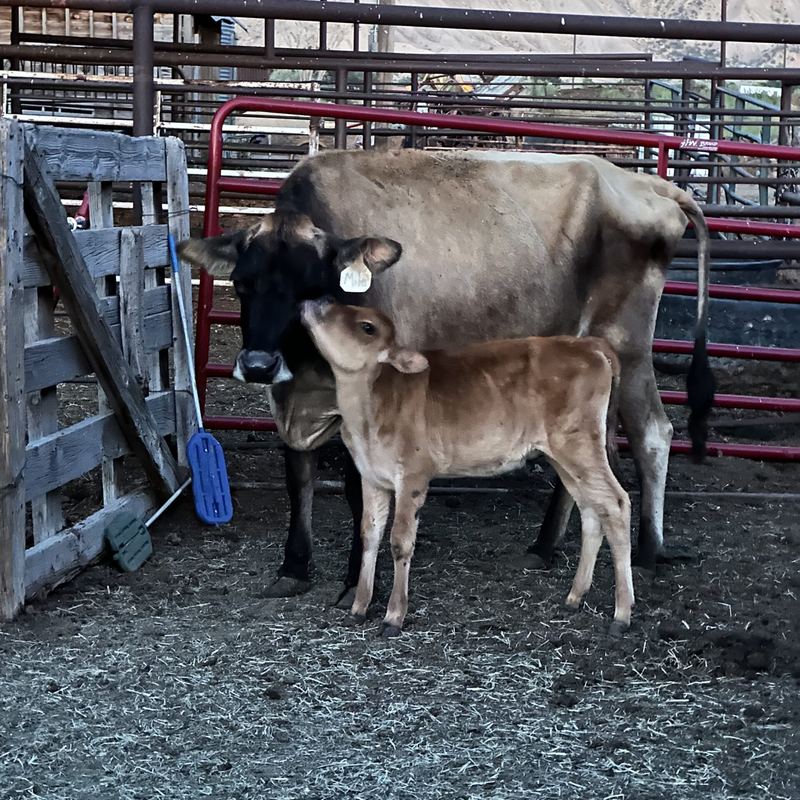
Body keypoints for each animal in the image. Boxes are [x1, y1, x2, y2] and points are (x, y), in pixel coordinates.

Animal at [178, 149, 713, 601]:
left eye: (310, 288)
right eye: (241, 284)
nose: (258, 363)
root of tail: (644, 183)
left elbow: (358, 489)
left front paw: (354, 583)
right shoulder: (290, 399)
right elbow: (298, 475)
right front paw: (293, 566)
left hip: (628, 344)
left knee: (652, 433)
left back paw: (649, 551)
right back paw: (544, 546)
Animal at [300, 298, 635, 637]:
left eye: (367, 327)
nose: (318, 301)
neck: (368, 410)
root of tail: (588, 345)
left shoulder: (413, 477)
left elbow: (400, 541)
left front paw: (394, 616)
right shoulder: (371, 476)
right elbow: (369, 534)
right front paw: (359, 607)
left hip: (579, 447)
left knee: (616, 504)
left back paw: (621, 614)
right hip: (565, 456)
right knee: (591, 510)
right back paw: (574, 597)